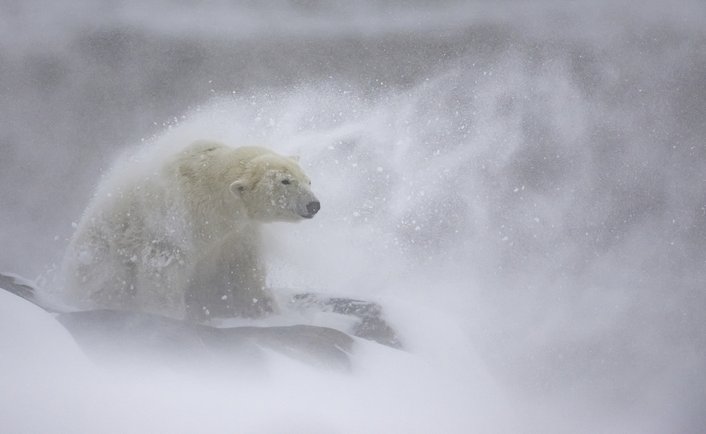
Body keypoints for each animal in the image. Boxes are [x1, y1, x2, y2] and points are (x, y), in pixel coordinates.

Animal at [60, 141, 320, 320]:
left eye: (307, 180)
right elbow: (164, 267)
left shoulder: (237, 232)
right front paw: (167, 313)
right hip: (101, 253)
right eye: (285, 181)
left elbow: (245, 268)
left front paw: (264, 308)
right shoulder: (176, 220)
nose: (313, 205)